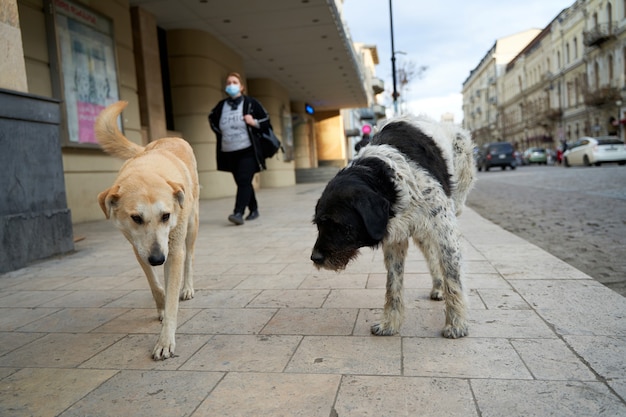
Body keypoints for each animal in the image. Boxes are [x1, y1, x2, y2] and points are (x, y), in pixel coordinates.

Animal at [94, 101, 200, 360]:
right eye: (136, 218)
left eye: (166, 216)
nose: (157, 259)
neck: (147, 169)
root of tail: (170, 137)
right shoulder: (138, 246)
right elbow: (154, 283)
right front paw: (161, 303)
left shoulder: (173, 249)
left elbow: (172, 298)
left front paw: (165, 340)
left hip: (192, 225)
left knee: (189, 257)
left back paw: (186, 287)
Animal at [310, 114, 476, 338]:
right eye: (318, 224)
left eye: (338, 224)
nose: (315, 258)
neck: (387, 181)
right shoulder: (395, 239)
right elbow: (393, 284)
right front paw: (389, 323)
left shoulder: (445, 231)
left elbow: (453, 277)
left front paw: (456, 323)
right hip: (423, 233)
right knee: (431, 255)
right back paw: (438, 287)